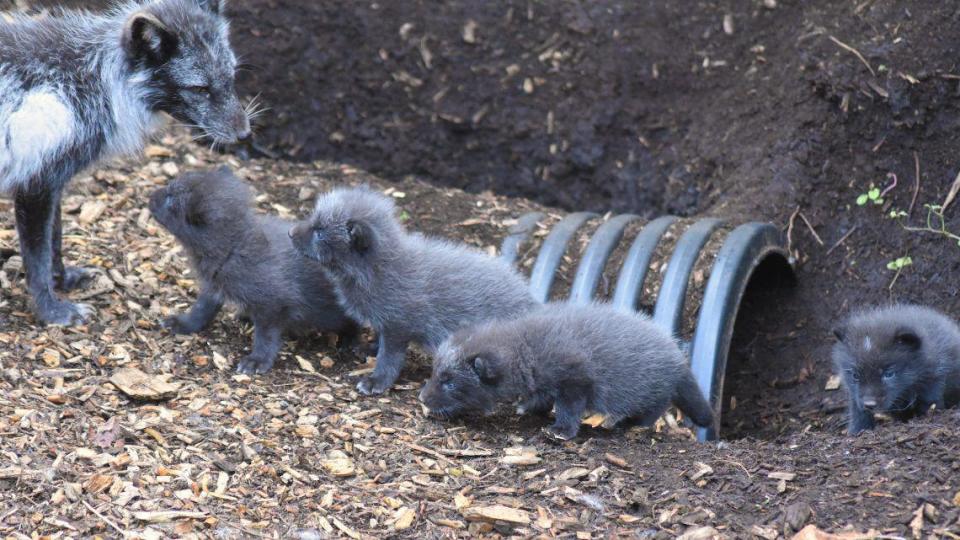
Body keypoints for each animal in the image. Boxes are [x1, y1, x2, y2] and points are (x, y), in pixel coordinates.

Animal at [0, 0, 251, 324]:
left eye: (231, 76)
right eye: (200, 88)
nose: (245, 134)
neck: (91, 79)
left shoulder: (53, 183)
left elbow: (55, 241)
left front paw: (64, 280)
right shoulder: (35, 186)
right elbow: (38, 260)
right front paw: (52, 311)